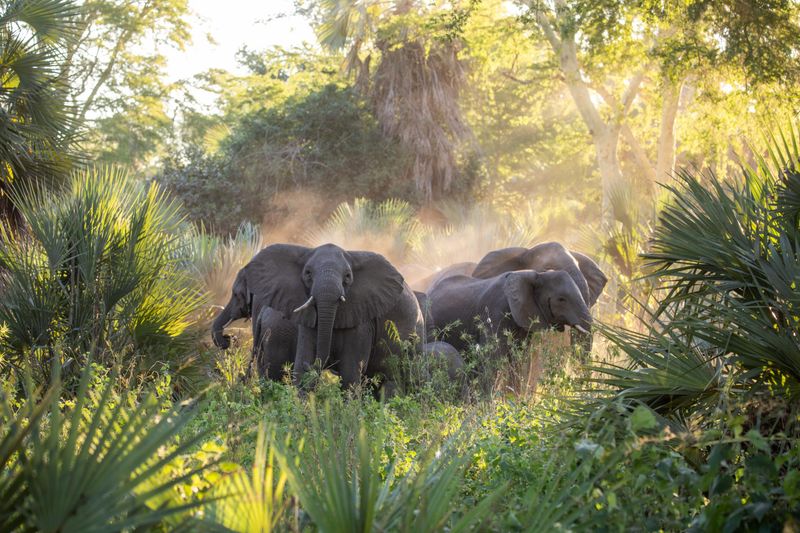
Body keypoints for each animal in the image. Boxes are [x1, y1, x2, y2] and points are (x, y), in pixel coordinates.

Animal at [212, 243, 423, 387]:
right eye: (308, 274)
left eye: (348, 277)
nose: (228, 339)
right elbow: (304, 368)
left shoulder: (362, 319)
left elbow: (350, 374)